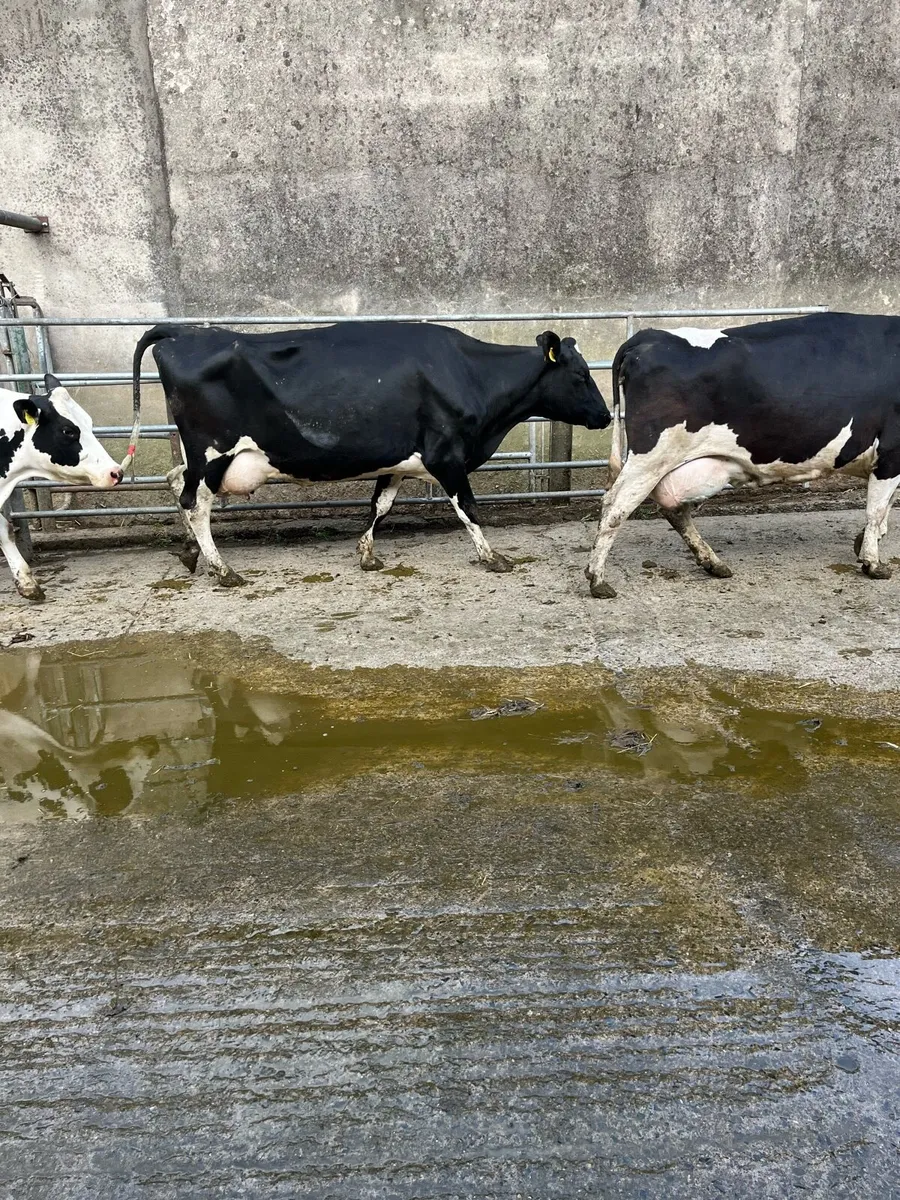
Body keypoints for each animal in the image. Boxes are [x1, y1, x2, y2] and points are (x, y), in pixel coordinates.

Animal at [131, 321, 610, 586]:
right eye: (582, 375)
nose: (607, 416)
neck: (472, 375)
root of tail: (185, 331)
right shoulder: (447, 455)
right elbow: (469, 509)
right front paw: (493, 558)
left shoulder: (399, 459)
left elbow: (380, 504)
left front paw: (366, 553)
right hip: (214, 451)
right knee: (196, 502)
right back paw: (223, 570)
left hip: (203, 456)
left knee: (176, 482)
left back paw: (192, 554)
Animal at [584, 312, 900, 598]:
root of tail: (647, 336)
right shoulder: (890, 453)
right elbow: (876, 510)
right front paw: (872, 562)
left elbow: (884, 509)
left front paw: (863, 543)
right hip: (652, 456)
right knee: (615, 505)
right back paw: (597, 578)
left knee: (673, 507)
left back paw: (712, 563)